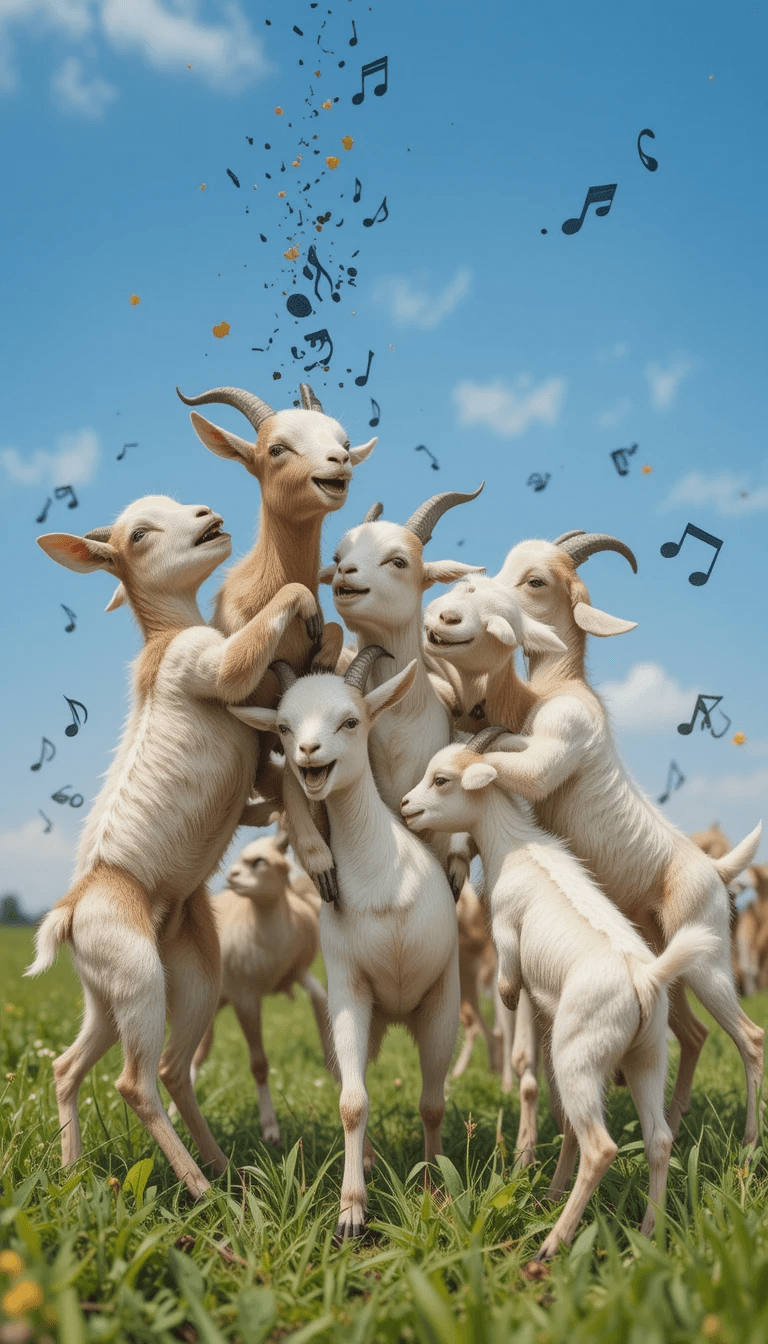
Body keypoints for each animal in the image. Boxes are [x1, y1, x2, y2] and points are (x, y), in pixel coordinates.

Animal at [28, 496, 319, 1198]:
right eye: (138, 534)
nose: (208, 513)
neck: (162, 642)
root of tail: (73, 906)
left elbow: (271, 796)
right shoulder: (210, 665)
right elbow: (274, 614)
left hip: (144, 989)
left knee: (99, 1067)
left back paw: (94, 1174)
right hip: (138, 979)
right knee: (136, 1082)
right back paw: (203, 1191)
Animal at [179, 826, 338, 1144]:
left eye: (259, 861)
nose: (231, 876)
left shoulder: (299, 974)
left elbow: (319, 1002)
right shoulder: (246, 996)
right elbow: (259, 1064)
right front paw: (270, 1128)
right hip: (211, 1004)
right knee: (196, 1057)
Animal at [229, 647, 460, 1241]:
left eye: (350, 721)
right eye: (284, 727)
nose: (309, 753)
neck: (384, 880)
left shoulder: (440, 1000)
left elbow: (432, 1104)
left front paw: (433, 1184)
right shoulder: (350, 994)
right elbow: (352, 1102)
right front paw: (351, 1213)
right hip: (362, 1023)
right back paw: (372, 1161)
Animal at [401, 727, 716, 1262]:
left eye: (440, 779)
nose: (405, 806)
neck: (517, 845)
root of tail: (646, 980)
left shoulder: (505, 930)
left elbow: (508, 981)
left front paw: (510, 997)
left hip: (579, 1057)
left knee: (601, 1147)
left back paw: (551, 1245)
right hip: (648, 1056)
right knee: (658, 1139)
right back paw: (648, 1233)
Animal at [434, 532, 764, 1144]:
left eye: (534, 581)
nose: (455, 612)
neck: (557, 688)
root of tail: (716, 871)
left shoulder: (554, 744)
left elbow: (505, 760)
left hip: (709, 962)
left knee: (749, 1037)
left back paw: (751, 1147)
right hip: (666, 963)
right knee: (694, 1035)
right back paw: (672, 1128)